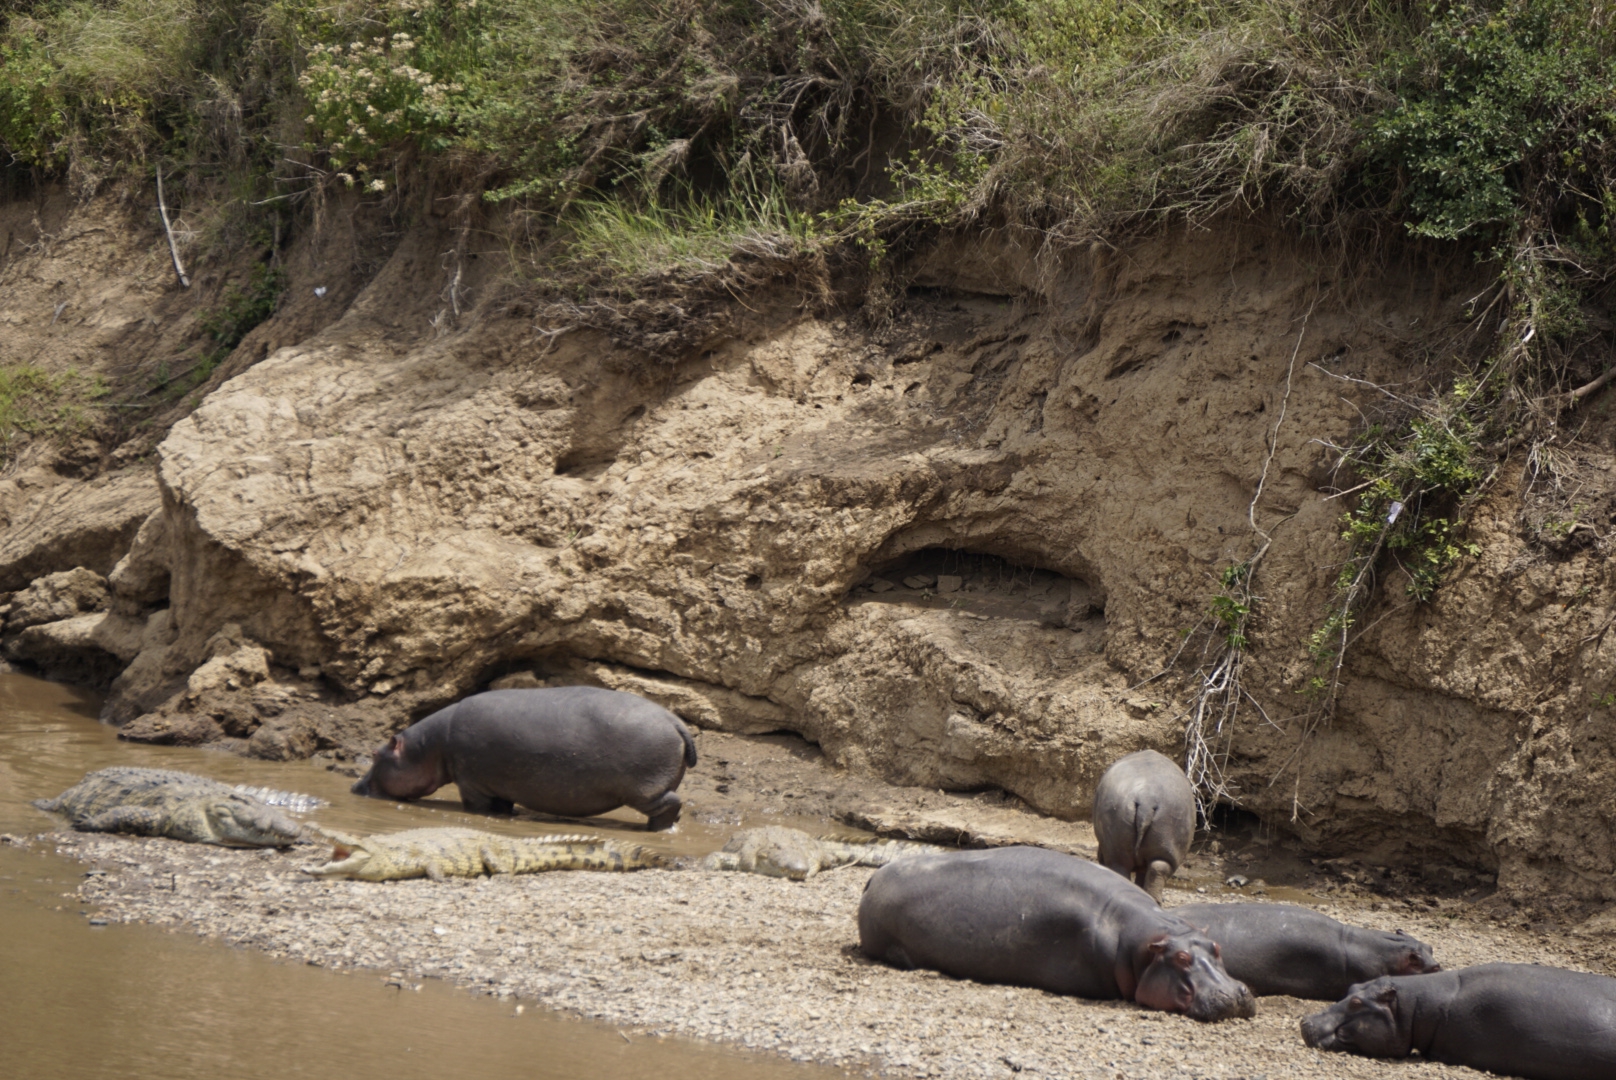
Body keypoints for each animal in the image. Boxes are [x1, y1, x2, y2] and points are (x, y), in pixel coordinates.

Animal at [353, 688, 694, 834]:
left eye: (374, 754)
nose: (355, 787)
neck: (429, 747)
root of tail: (675, 721)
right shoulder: (499, 785)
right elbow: (504, 807)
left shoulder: (471, 783)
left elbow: (476, 807)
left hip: (643, 790)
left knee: (670, 804)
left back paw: (656, 831)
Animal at [1092, 750, 1195, 905]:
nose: (1098, 856)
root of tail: (1147, 801)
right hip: (1166, 840)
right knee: (1158, 869)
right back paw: (1153, 901)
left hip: (1119, 849)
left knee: (1129, 870)